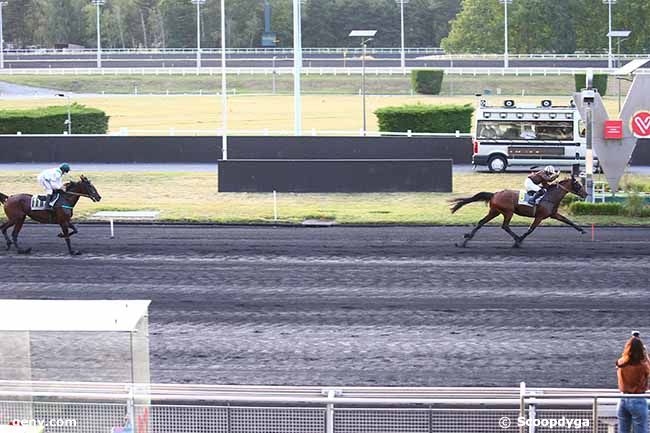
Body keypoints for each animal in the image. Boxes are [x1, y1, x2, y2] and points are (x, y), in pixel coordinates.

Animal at [450, 176, 588, 248]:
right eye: (579, 185)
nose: (586, 194)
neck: (550, 196)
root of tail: (495, 194)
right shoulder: (540, 216)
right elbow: (530, 229)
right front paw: (520, 239)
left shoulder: (553, 214)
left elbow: (568, 221)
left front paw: (582, 230)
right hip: (508, 212)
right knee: (505, 226)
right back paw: (516, 239)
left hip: (494, 211)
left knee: (481, 222)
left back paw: (466, 240)